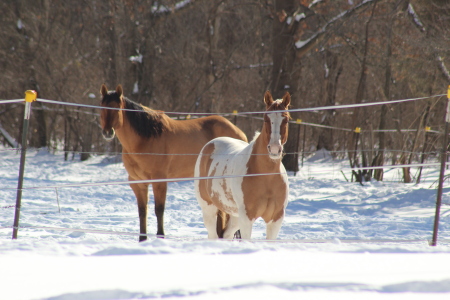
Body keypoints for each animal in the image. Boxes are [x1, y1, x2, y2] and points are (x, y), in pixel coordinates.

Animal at [100, 84, 248, 241]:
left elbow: (159, 210)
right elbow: (142, 211)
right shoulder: (138, 183)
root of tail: (239, 133)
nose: (107, 132)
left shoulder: (159, 181)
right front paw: (142, 239)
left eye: (117, 108)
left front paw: (160, 236)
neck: (145, 139)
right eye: (102, 107)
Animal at [195, 91, 290, 239]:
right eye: (265, 119)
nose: (274, 149)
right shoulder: (247, 218)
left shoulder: (275, 219)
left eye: (286, 120)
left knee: (226, 235)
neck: (266, 177)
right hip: (209, 209)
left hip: (234, 216)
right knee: (213, 235)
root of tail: (210, 144)